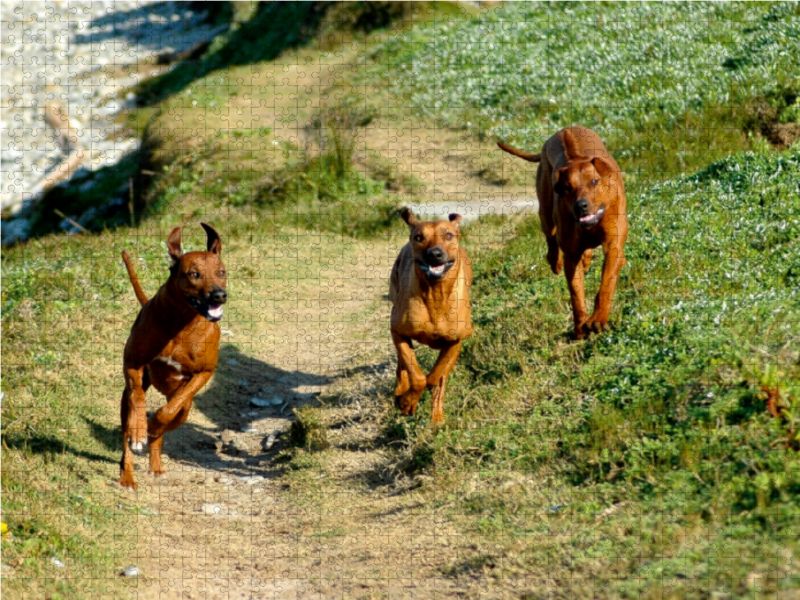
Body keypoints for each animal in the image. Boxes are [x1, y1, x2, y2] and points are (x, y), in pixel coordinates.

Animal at [118, 223, 228, 490]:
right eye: (194, 274)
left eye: (221, 272)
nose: (219, 295)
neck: (181, 323)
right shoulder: (132, 363)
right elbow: (138, 397)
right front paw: (140, 430)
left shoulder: (204, 373)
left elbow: (168, 410)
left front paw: (153, 425)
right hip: (125, 401)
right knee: (126, 432)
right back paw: (128, 473)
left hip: (185, 412)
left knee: (170, 419)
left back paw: (156, 462)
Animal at [390, 209, 472, 424]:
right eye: (419, 237)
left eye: (449, 235)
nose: (434, 254)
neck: (435, 294)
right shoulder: (398, 331)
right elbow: (418, 377)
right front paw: (406, 401)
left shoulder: (456, 341)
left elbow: (435, 377)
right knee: (402, 362)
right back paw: (401, 388)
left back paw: (437, 417)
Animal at [496, 126, 628, 338]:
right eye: (568, 187)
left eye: (594, 181)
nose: (580, 206)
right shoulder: (571, 256)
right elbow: (576, 292)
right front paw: (580, 326)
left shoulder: (613, 247)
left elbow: (606, 283)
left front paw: (597, 319)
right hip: (545, 208)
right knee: (550, 236)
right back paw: (554, 260)